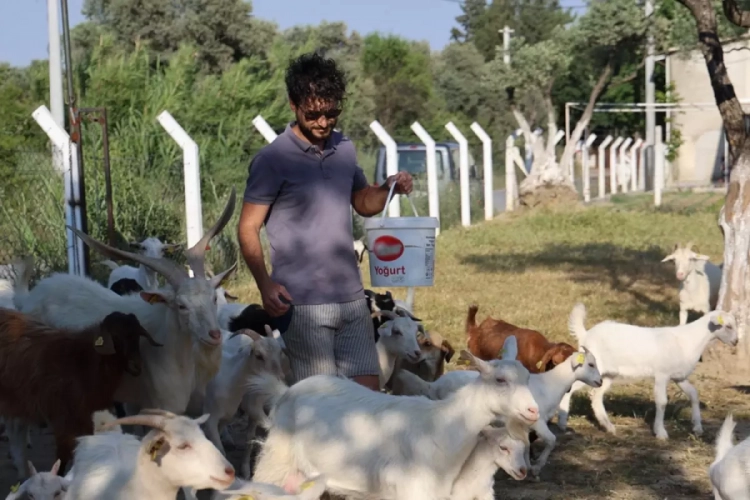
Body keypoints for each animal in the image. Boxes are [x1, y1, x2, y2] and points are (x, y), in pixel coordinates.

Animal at [0, 308, 162, 477]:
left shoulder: (88, 415)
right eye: (115, 337)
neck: (82, 361)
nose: (136, 366)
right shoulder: (63, 417)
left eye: (137, 335)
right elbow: (63, 456)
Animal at [248, 336, 539, 500]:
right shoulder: (411, 490)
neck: (442, 425)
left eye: (528, 377)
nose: (533, 411)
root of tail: (285, 391)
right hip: (277, 462)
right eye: (500, 380)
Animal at [558, 303, 738, 440]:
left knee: (596, 396)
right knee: (570, 388)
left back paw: (608, 426)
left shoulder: (679, 377)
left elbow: (694, 394)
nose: (736, 341)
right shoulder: (662, 375)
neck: (688, 340)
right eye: (728, 326)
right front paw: (661, 432)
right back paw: (562, 423)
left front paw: (698, 427)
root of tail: (586, 334)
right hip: (591, 371)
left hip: (606, 375)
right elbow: (662, 401)